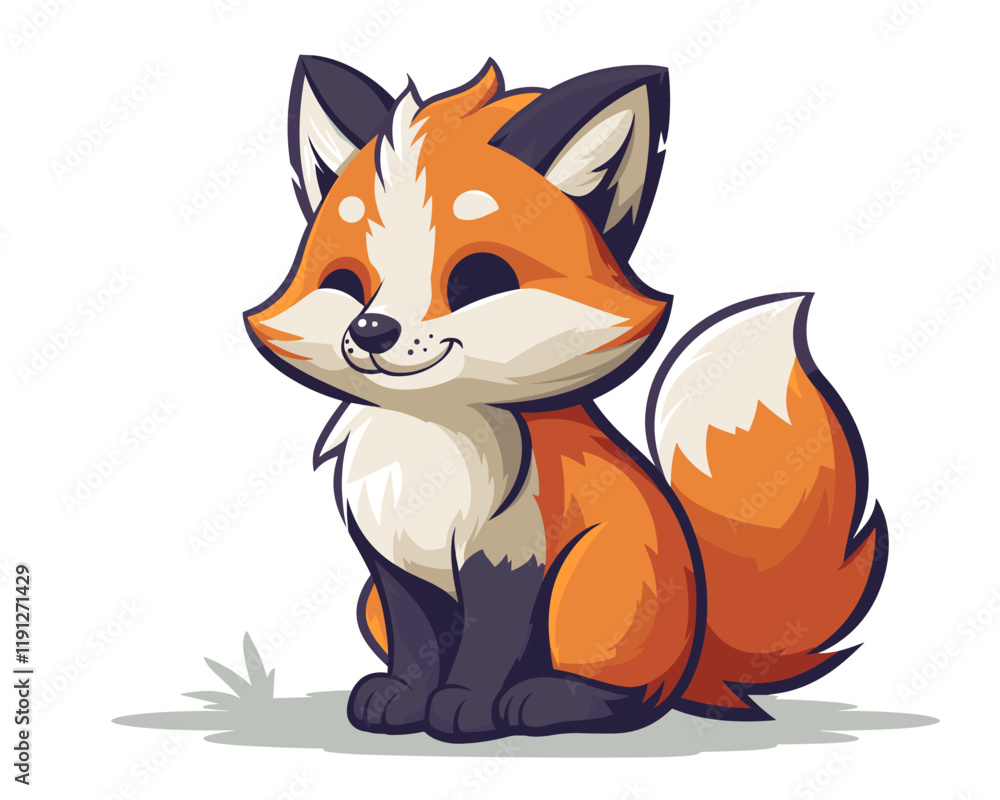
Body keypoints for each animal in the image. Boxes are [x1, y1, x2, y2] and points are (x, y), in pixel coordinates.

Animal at [244, 56, 888, 743]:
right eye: (346, 283)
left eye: (478, 279)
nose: (370, 331)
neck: (430, 445)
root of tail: (697, 652)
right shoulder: (392, 564)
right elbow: (417, 643)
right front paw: (403, 701)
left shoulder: (512, 556)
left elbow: (489, 644)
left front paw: (464, 708)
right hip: (374, 605)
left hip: (593, 585)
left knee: (632, 696)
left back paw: (545, 700)